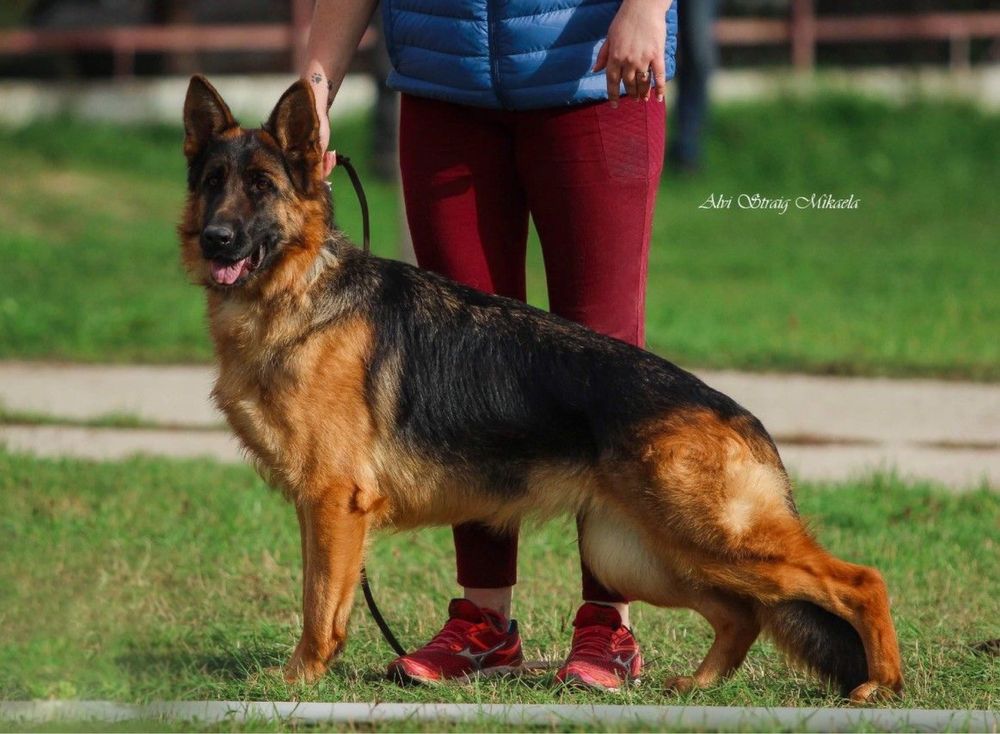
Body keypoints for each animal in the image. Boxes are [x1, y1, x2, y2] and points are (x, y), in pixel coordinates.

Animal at [180, 77, 908, 704]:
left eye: (262, 186)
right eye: (214, 183)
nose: (216, 238)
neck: (297, 292)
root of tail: (740, 416)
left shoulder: (335, 504)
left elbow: (319, 607)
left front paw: (298, 680)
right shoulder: (318, 508)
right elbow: (317, 595)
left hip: (711, 542)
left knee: (860, 581)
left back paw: (882, 683)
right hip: (641, 555)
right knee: (741, 614)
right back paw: (697, 686)